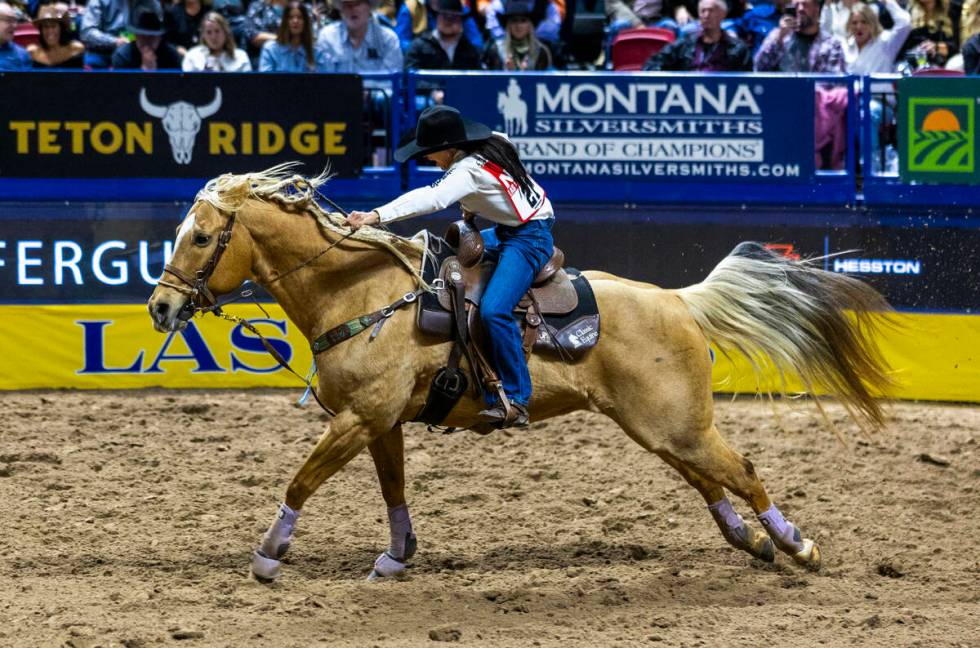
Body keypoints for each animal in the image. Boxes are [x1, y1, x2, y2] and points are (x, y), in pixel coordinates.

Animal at [147, 167, 896, 584]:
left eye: (203, 237)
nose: (160, 307)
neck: (360, 294)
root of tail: (678, 300)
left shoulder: (360, 419)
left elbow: (299, 482)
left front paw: (269, 556)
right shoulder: (378, 423)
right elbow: (393, 491)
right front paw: (397, 557)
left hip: (676, 423)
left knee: (739, 468)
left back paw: (797, 546)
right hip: (659, 426)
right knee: (706, 477)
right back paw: (752, 540)